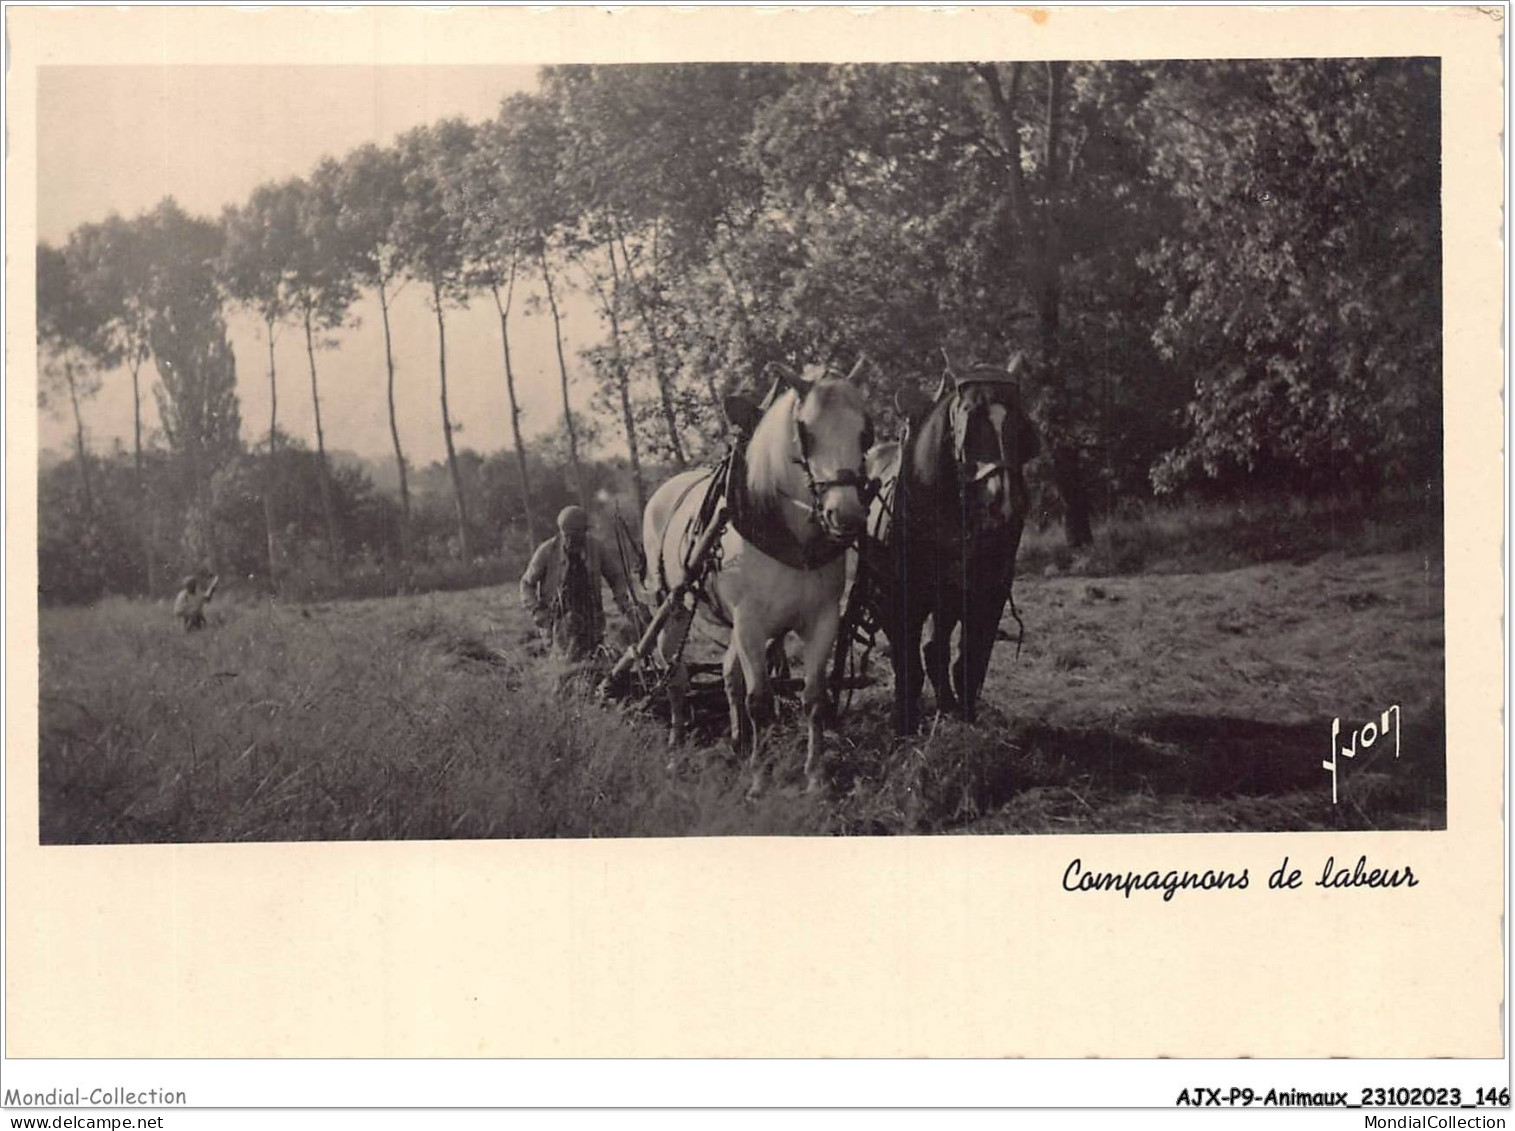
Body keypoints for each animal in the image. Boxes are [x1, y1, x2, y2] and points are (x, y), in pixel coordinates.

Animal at [642, 370, 878, 793]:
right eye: (806, 432)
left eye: (865, 433)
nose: (847, 515)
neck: (793, 538)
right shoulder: (750, 622)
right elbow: (760, 701)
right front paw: (760, 778)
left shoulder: (822, 620)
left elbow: (814, 698)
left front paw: (815, 776)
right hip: (674, 607)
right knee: (675, 673)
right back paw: (677, 742)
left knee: (728, 673)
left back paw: (737, 742)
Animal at [854, 358, 1042, 738]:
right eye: (968, 420)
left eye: (1020, 425)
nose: (1005, 503)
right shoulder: (901, 597)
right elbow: (908, 665)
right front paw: (904, 725)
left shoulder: (986, 594)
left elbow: (968, 662)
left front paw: (965, 720)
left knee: (936, 649)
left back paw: (947, 705)